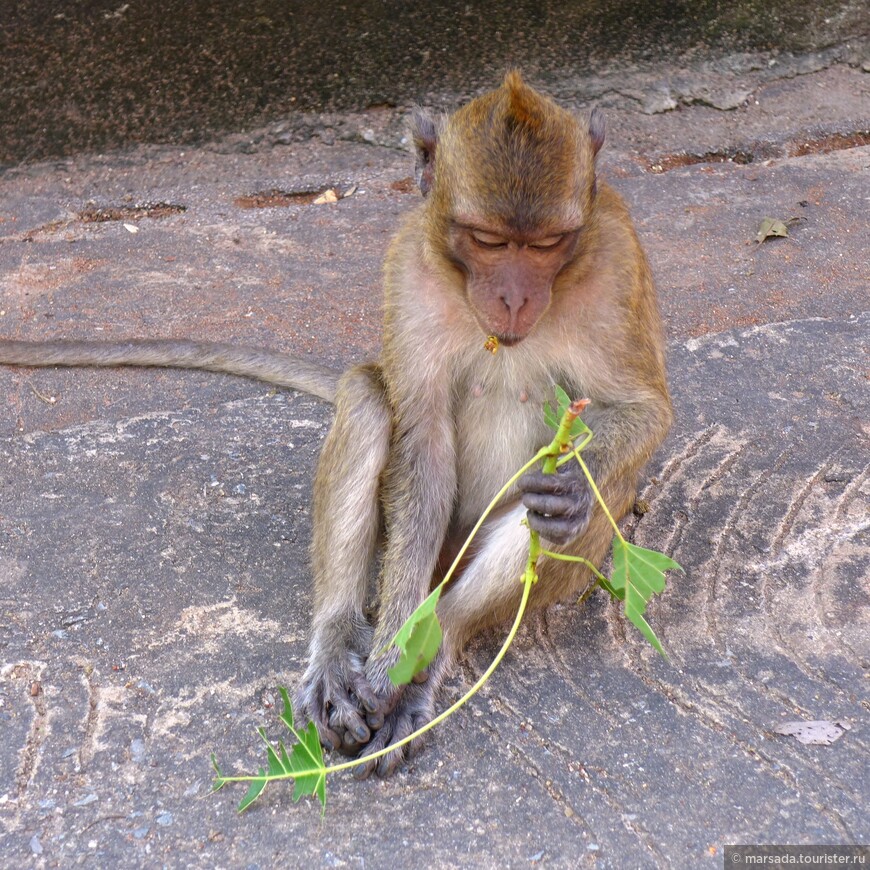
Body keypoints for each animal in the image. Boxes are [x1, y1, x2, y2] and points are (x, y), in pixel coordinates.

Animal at [0, 75, 676, 780]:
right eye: (489, 239)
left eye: (546, 244)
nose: (514, 297)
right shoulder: (408, 264)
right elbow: (421, 444)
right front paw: (388, 657)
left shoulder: (617, 261)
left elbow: (643, 411)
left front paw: (569, 492)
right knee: (367, 398)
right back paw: (338, 646)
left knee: (564, 506)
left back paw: (437, 650)